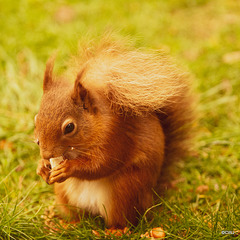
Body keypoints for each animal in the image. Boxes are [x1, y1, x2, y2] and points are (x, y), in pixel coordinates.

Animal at [34, 39, 195, 229]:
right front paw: (42, 167)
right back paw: (69, 224)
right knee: (78, 216)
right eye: (36, 118)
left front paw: (68, 168)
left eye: (69, 127)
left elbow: (102, 164)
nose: (46, 154)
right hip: (64, 194)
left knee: (123, 220)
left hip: (125, 191)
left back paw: (116, 230)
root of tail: (150, 198)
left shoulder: (115, 136)